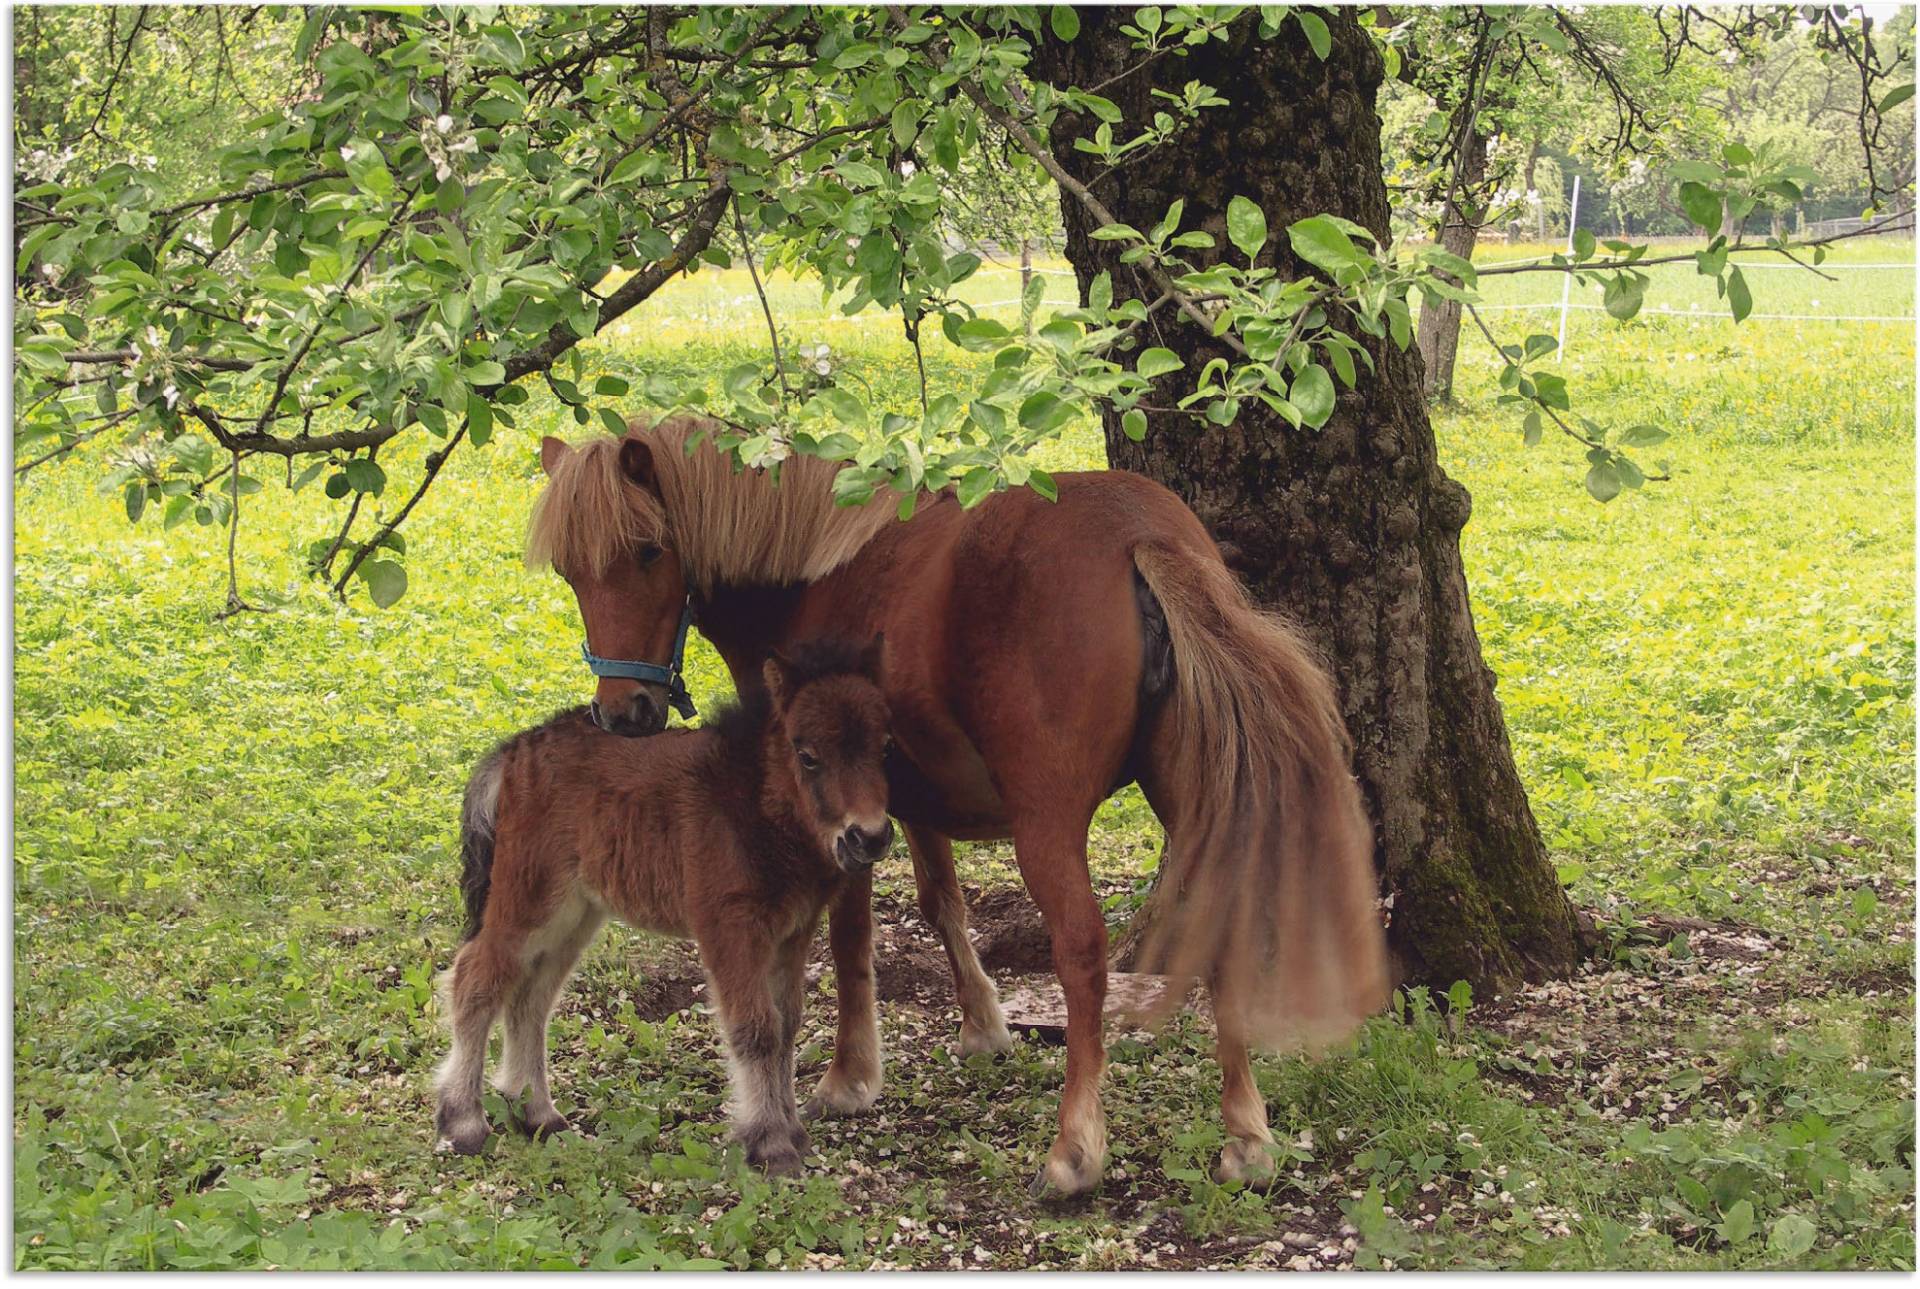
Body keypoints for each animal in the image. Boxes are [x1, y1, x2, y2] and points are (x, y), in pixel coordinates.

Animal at [435, 641, 890, 1175]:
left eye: (885, 748)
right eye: (809, 756)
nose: (870, 837)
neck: (753, 801)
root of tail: (514, 751)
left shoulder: (791, 935)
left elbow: (786, 1026)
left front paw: (793, 1134)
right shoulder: (729, 928)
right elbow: (756, 1028)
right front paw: (770, 1145)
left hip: (575, 914)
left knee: (531, 996)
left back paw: (537, 1114)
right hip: (528, 899)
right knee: (477, 979)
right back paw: (463, 1121)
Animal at [533, 420, 1390, 1198]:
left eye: (648, 551)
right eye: (570, 572)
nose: (623, 713)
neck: (812, 570)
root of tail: (1139, 535)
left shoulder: (838, 814)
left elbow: (851, 937)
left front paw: (850, 1073)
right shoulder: (908, 798)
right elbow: (940, 899)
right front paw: (982, 1022)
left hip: (1048, 825)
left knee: (1081, 953)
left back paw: (1075, 1149)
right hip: (1191, 797)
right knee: (1218, 923)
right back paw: (1246, 1135)